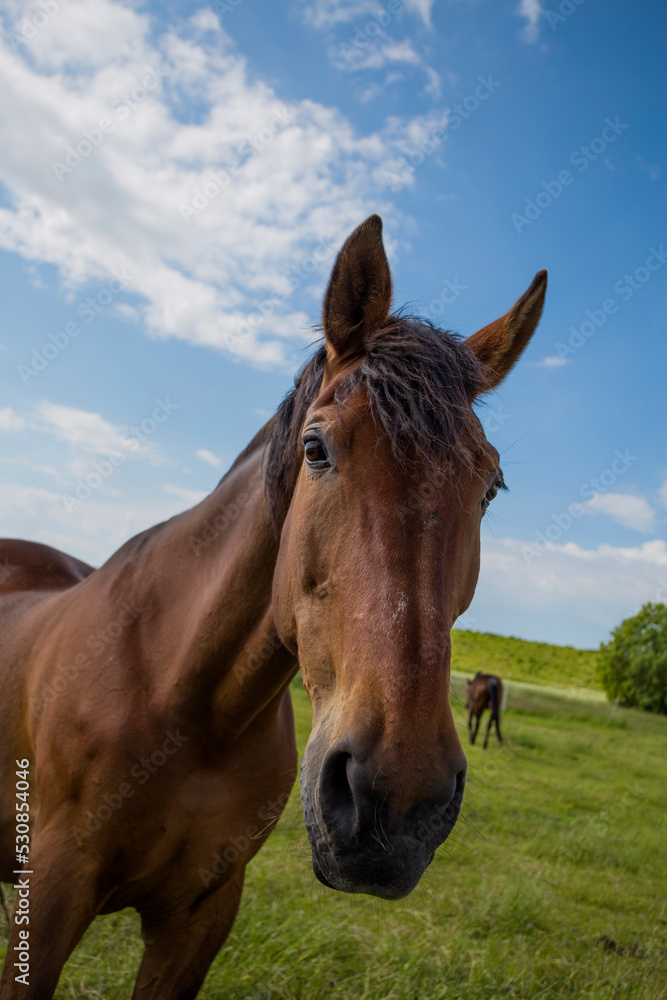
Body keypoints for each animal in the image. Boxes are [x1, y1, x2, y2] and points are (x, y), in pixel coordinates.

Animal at [0, 215, 546, 999]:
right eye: (315, 449)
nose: (399, 799)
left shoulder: (202, 917)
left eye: (491, 487)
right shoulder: (48, 895)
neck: (189, 701)